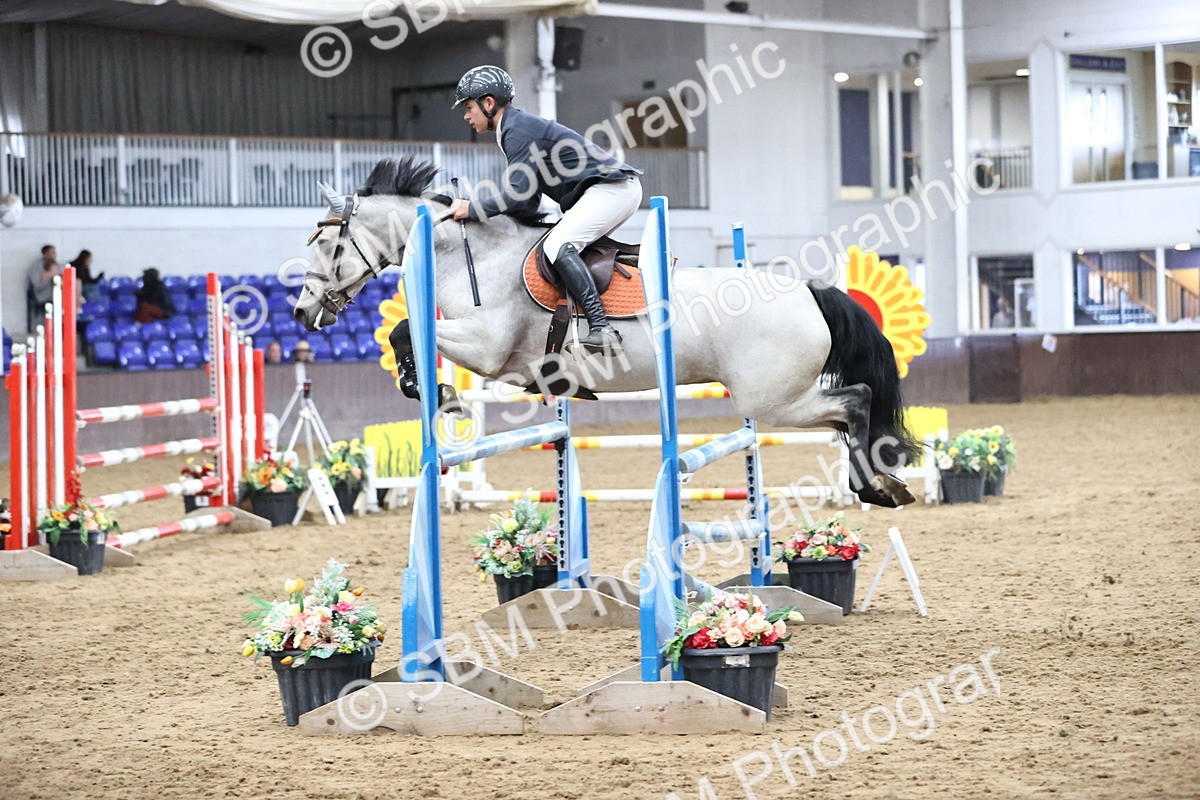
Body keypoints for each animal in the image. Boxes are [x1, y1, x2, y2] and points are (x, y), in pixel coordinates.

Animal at [292, 157, 921, 506]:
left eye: (328, 245)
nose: (302, 313)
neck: (471, 253)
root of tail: (809, 292)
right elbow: (406, 334)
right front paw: (430, 390)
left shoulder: (489, 350)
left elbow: (405, 331)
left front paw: (435, 392)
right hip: (778, 398)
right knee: (850, 409)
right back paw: (882, 486)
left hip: (771, 399)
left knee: (855, 400)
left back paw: (876, 487)